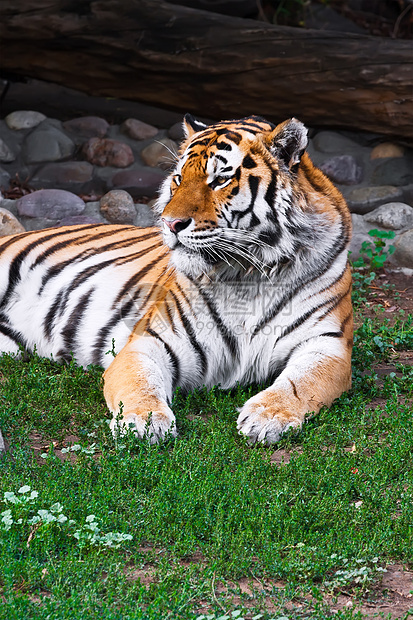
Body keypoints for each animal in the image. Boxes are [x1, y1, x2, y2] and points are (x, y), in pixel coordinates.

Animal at [0, 116, 354, 444]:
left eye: (220, 179)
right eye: (179, 179)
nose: (170, 223)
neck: (247, 275)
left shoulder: (327, 344)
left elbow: (298, 384)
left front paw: (267, 417)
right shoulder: (148, 341)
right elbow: (140, 383)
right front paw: (144, 421)